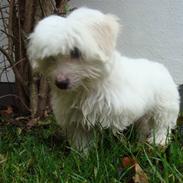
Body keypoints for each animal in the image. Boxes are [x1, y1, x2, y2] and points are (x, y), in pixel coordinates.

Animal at [27, 6, 179, 150]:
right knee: (144, 124)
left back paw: (158, 141)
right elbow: (81, 139)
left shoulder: (116, 111)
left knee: (163, 124)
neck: (87, 87)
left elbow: (112, 131)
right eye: (50, 57)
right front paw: (83, 155)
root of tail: (161, 67)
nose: (60, 83)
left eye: (76, 52)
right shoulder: (76, 120)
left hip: (165, 105)